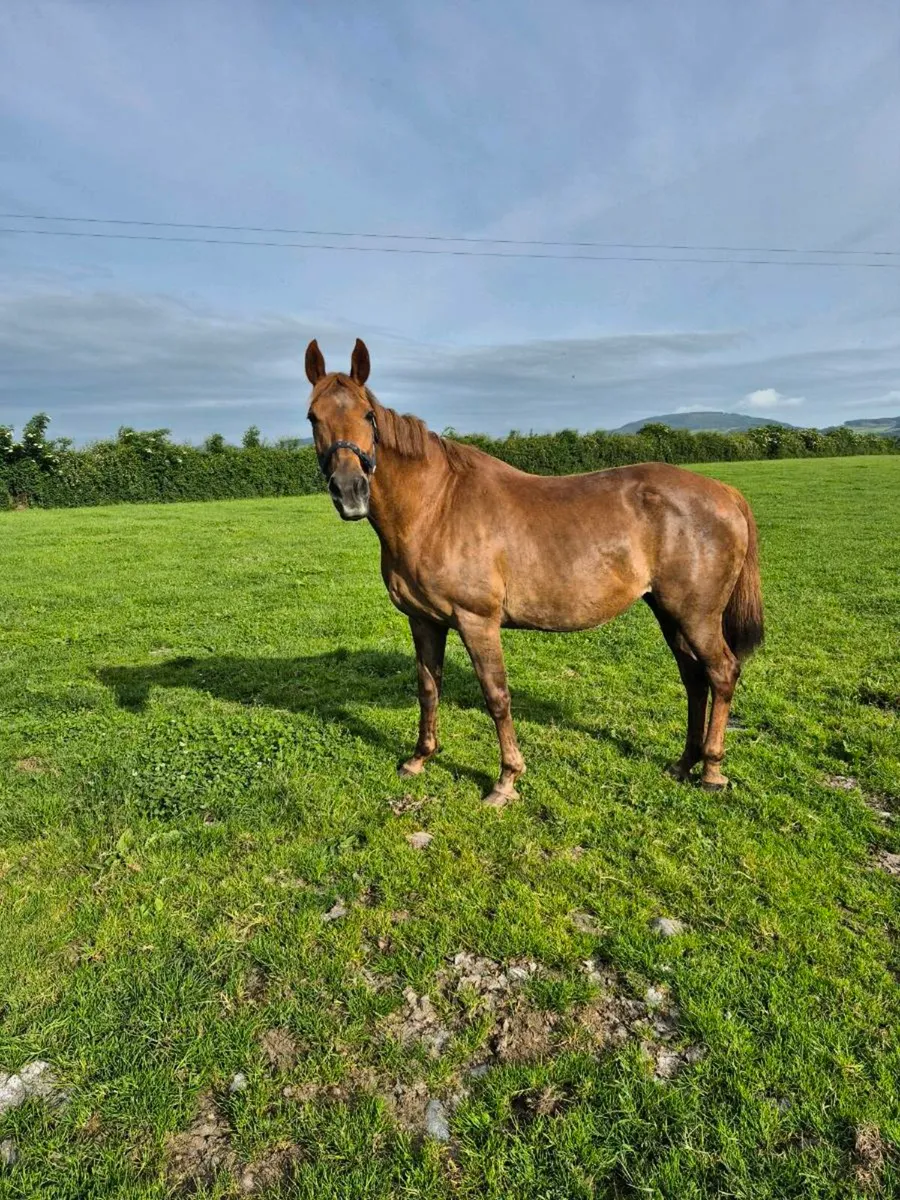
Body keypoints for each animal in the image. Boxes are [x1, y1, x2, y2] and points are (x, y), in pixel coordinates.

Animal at [305, 338, 764, 807]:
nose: (349, 491)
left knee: (722, 672)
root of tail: (724, 492)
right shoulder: (424, 621)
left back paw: (711, 771)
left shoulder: (477, 622)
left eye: (368, 415)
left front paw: (506, 780)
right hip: (670, 613)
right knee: (694, 679)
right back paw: (684, 763)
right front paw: (420, 758)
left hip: (697, 616)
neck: (436, 507)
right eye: (312, 417)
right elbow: (429, 688)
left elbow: (496, 695)